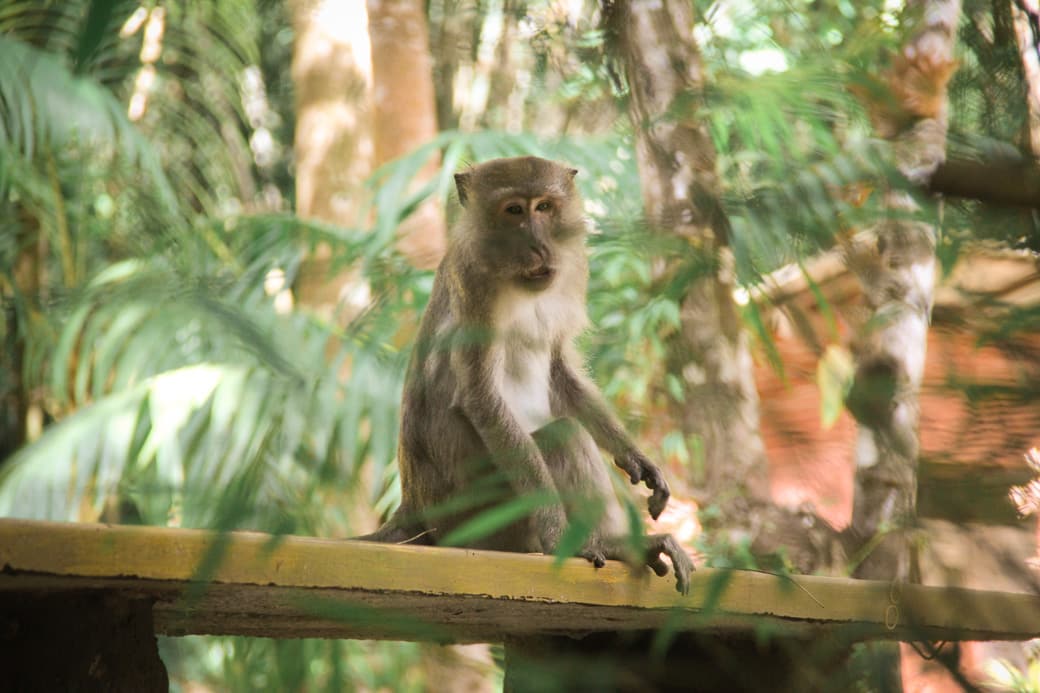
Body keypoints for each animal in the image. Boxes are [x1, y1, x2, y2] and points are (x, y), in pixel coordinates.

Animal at [361, 156, 694, 595]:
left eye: (545, 207)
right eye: (514, 210)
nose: (540, 246)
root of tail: (415, 511)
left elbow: (558, 370)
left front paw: (634, 456)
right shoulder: (475, 284)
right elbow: (482, 398)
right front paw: (560, 537)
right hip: (483, 518)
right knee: (563, 437)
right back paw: (611, 544)